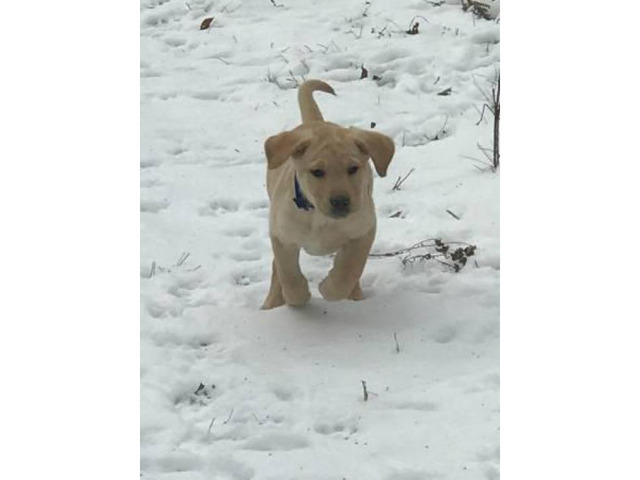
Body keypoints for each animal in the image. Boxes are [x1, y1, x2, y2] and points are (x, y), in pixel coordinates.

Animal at [262, 79, 396, 312]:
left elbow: (348, 271)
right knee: (276, 269)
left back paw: (355, 295)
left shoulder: (364, 231)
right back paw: (272, 302)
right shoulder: (282, 236)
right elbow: (288, 275)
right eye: (317, 172)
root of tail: (316, 122)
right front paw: (298, 297)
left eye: (353, 168)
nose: (340, 202)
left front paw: (329, 288)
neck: (319, 218)